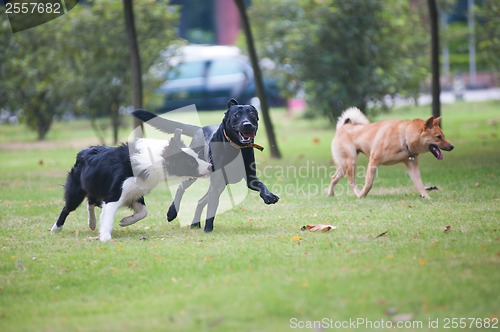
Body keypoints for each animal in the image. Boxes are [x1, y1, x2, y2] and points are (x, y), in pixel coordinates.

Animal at [133, 98, 280, 233]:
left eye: (252, 115)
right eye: (237, 115)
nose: (247, 124)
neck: (234, 147)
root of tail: (200, 129)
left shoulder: (250, 178)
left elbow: (261, 185)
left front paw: (269, 196)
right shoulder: (216, 184)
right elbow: (211, 209)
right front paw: (208, 229)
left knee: (200, 201)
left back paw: (195, 223)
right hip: (195, 172)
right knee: (181, 188)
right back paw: (172, 212)